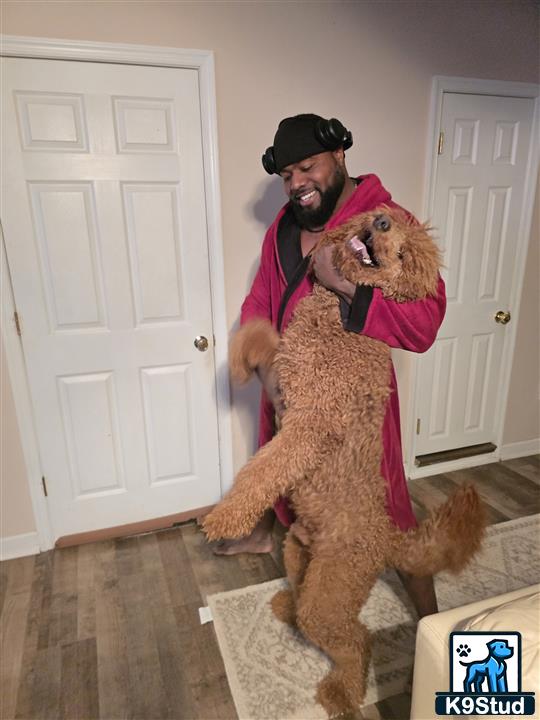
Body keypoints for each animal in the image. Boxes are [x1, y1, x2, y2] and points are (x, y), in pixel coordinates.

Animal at [205, 205, 488, 716]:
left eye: (405, 251)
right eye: (388, 219)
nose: (381, 223)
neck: (338, 319)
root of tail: (386, 537)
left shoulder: (310, 425)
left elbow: (263, 469)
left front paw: (225, 517)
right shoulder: (284, 362)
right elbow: (257, 334)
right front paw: (236, 366)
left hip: (332, 591)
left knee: (356, 640)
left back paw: (341, 692)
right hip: (298, 553)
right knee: (306, 601)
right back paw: (287, 607)